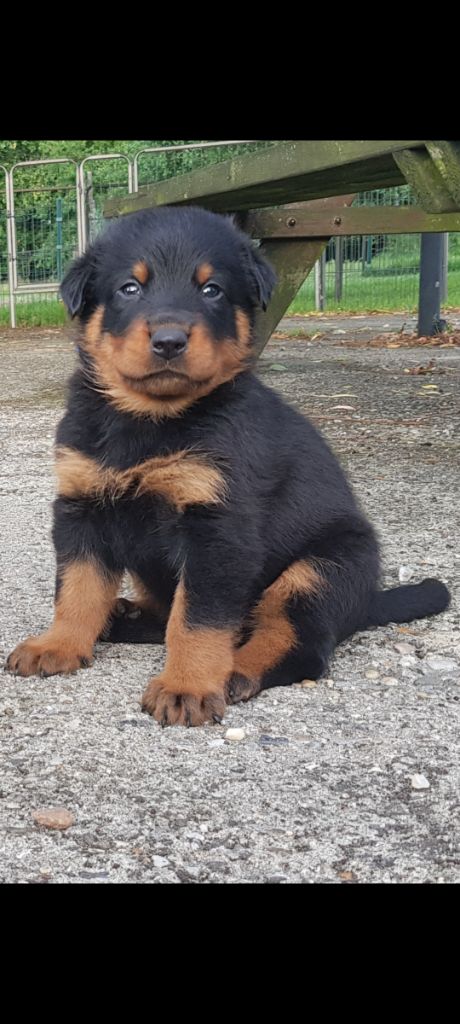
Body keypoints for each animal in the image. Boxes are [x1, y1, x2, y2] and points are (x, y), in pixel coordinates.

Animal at [6, 203, 448, 724]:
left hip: (322, 569)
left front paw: (188, 685)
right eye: (129, 288)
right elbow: (77, 587)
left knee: (300, 648)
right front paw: (58, 645)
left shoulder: (219, 531)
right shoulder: (82, 506)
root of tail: (366, 603)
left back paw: (236, 671)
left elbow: (197, 619)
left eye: (211, 289)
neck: (151, 420)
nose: (169, 340)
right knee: (165, 613)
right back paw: (124, 616)